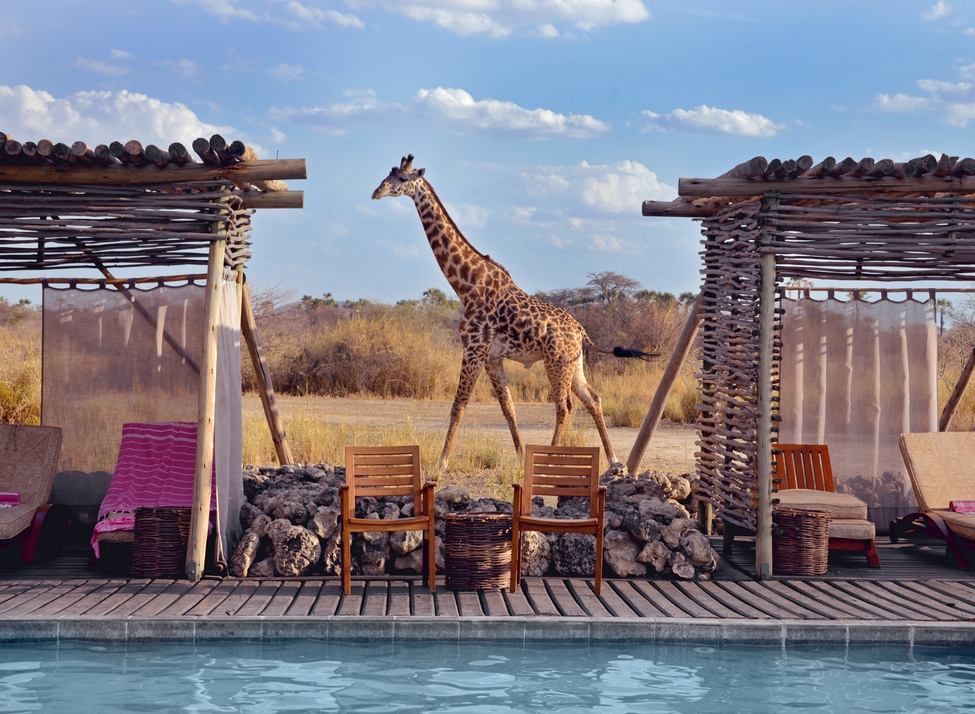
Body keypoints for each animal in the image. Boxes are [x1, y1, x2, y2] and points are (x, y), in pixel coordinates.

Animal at [372, 155, 653, 470]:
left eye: (401, 179)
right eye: (388, 175)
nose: (376, 192)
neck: (467, 284)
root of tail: (581, 331)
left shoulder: (474, 349)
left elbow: (459, 406)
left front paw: (441, 464)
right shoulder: (492, 357)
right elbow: (508, 407)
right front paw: (519, 456)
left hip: (556, 362)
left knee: (565, 406)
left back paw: (551, 460)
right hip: (574, 363)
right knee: (593, 399)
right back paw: (614, 460)